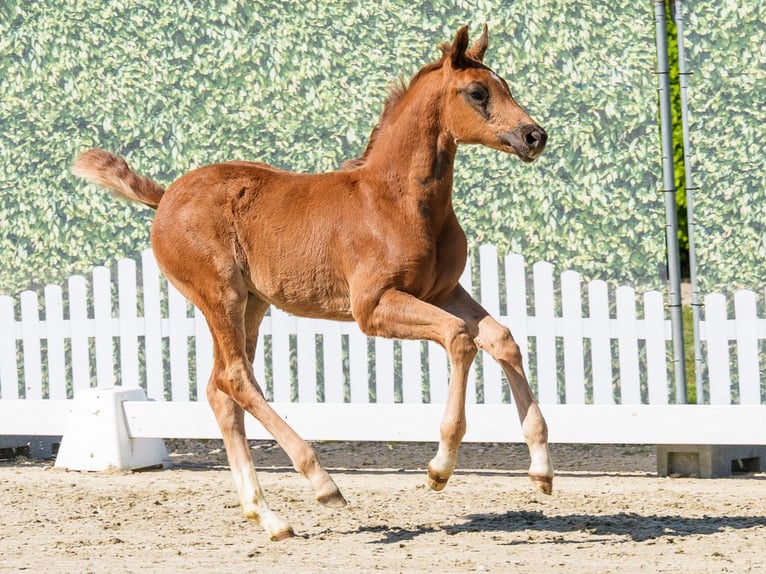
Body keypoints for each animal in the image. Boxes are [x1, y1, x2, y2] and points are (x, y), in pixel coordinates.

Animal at [72, 24, 552, 541]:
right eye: (478, 92)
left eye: (506, 86)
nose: (535, 135)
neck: (398, 200)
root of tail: (164, 198)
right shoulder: (373, 307)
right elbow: (460, 339)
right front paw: (439, 468)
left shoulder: (443, 292)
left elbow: (502, 339)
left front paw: (542, 471)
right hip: (221, 294)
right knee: (236, 378)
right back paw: (322, 483)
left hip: (253, 304)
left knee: (220, 390)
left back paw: (268, 516)